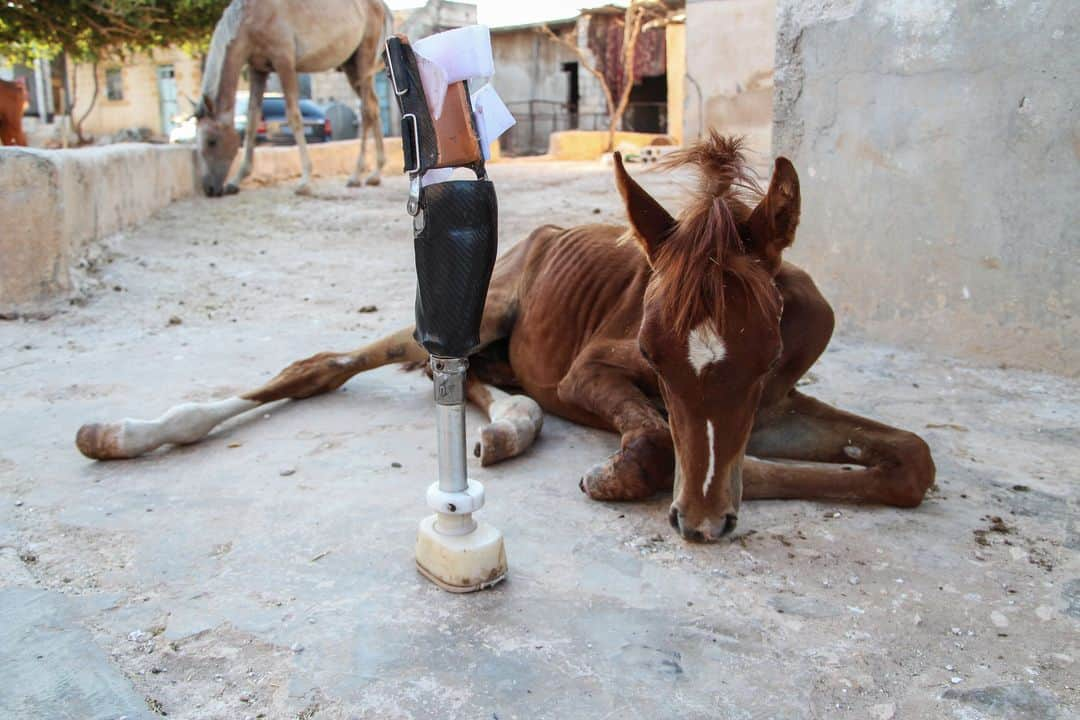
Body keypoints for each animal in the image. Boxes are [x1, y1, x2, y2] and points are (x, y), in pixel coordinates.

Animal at [78, 133, 937, 539]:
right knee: (332, 365)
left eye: (761, 362)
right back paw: (119, 432)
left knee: (468, 380)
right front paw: (651, 475)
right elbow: (658, 438)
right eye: (654, 356)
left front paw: (738, 481)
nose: (700, 523)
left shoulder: (779, 404)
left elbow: (911, 460)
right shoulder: (593, 369)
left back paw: (511, 429)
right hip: (475, 312)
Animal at [195, 0, 393, 197]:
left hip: (364, 61)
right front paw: (235, 181)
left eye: (212, 141)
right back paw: (375, 174)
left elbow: (294, 116)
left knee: (366, 110)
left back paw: (356, 176)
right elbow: (252, 121)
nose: (210, 189)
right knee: (373, 107)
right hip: (350, 66)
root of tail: (381, 7)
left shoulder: (284, 62)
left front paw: (304, 182)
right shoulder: (258, 69)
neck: (252, 16)